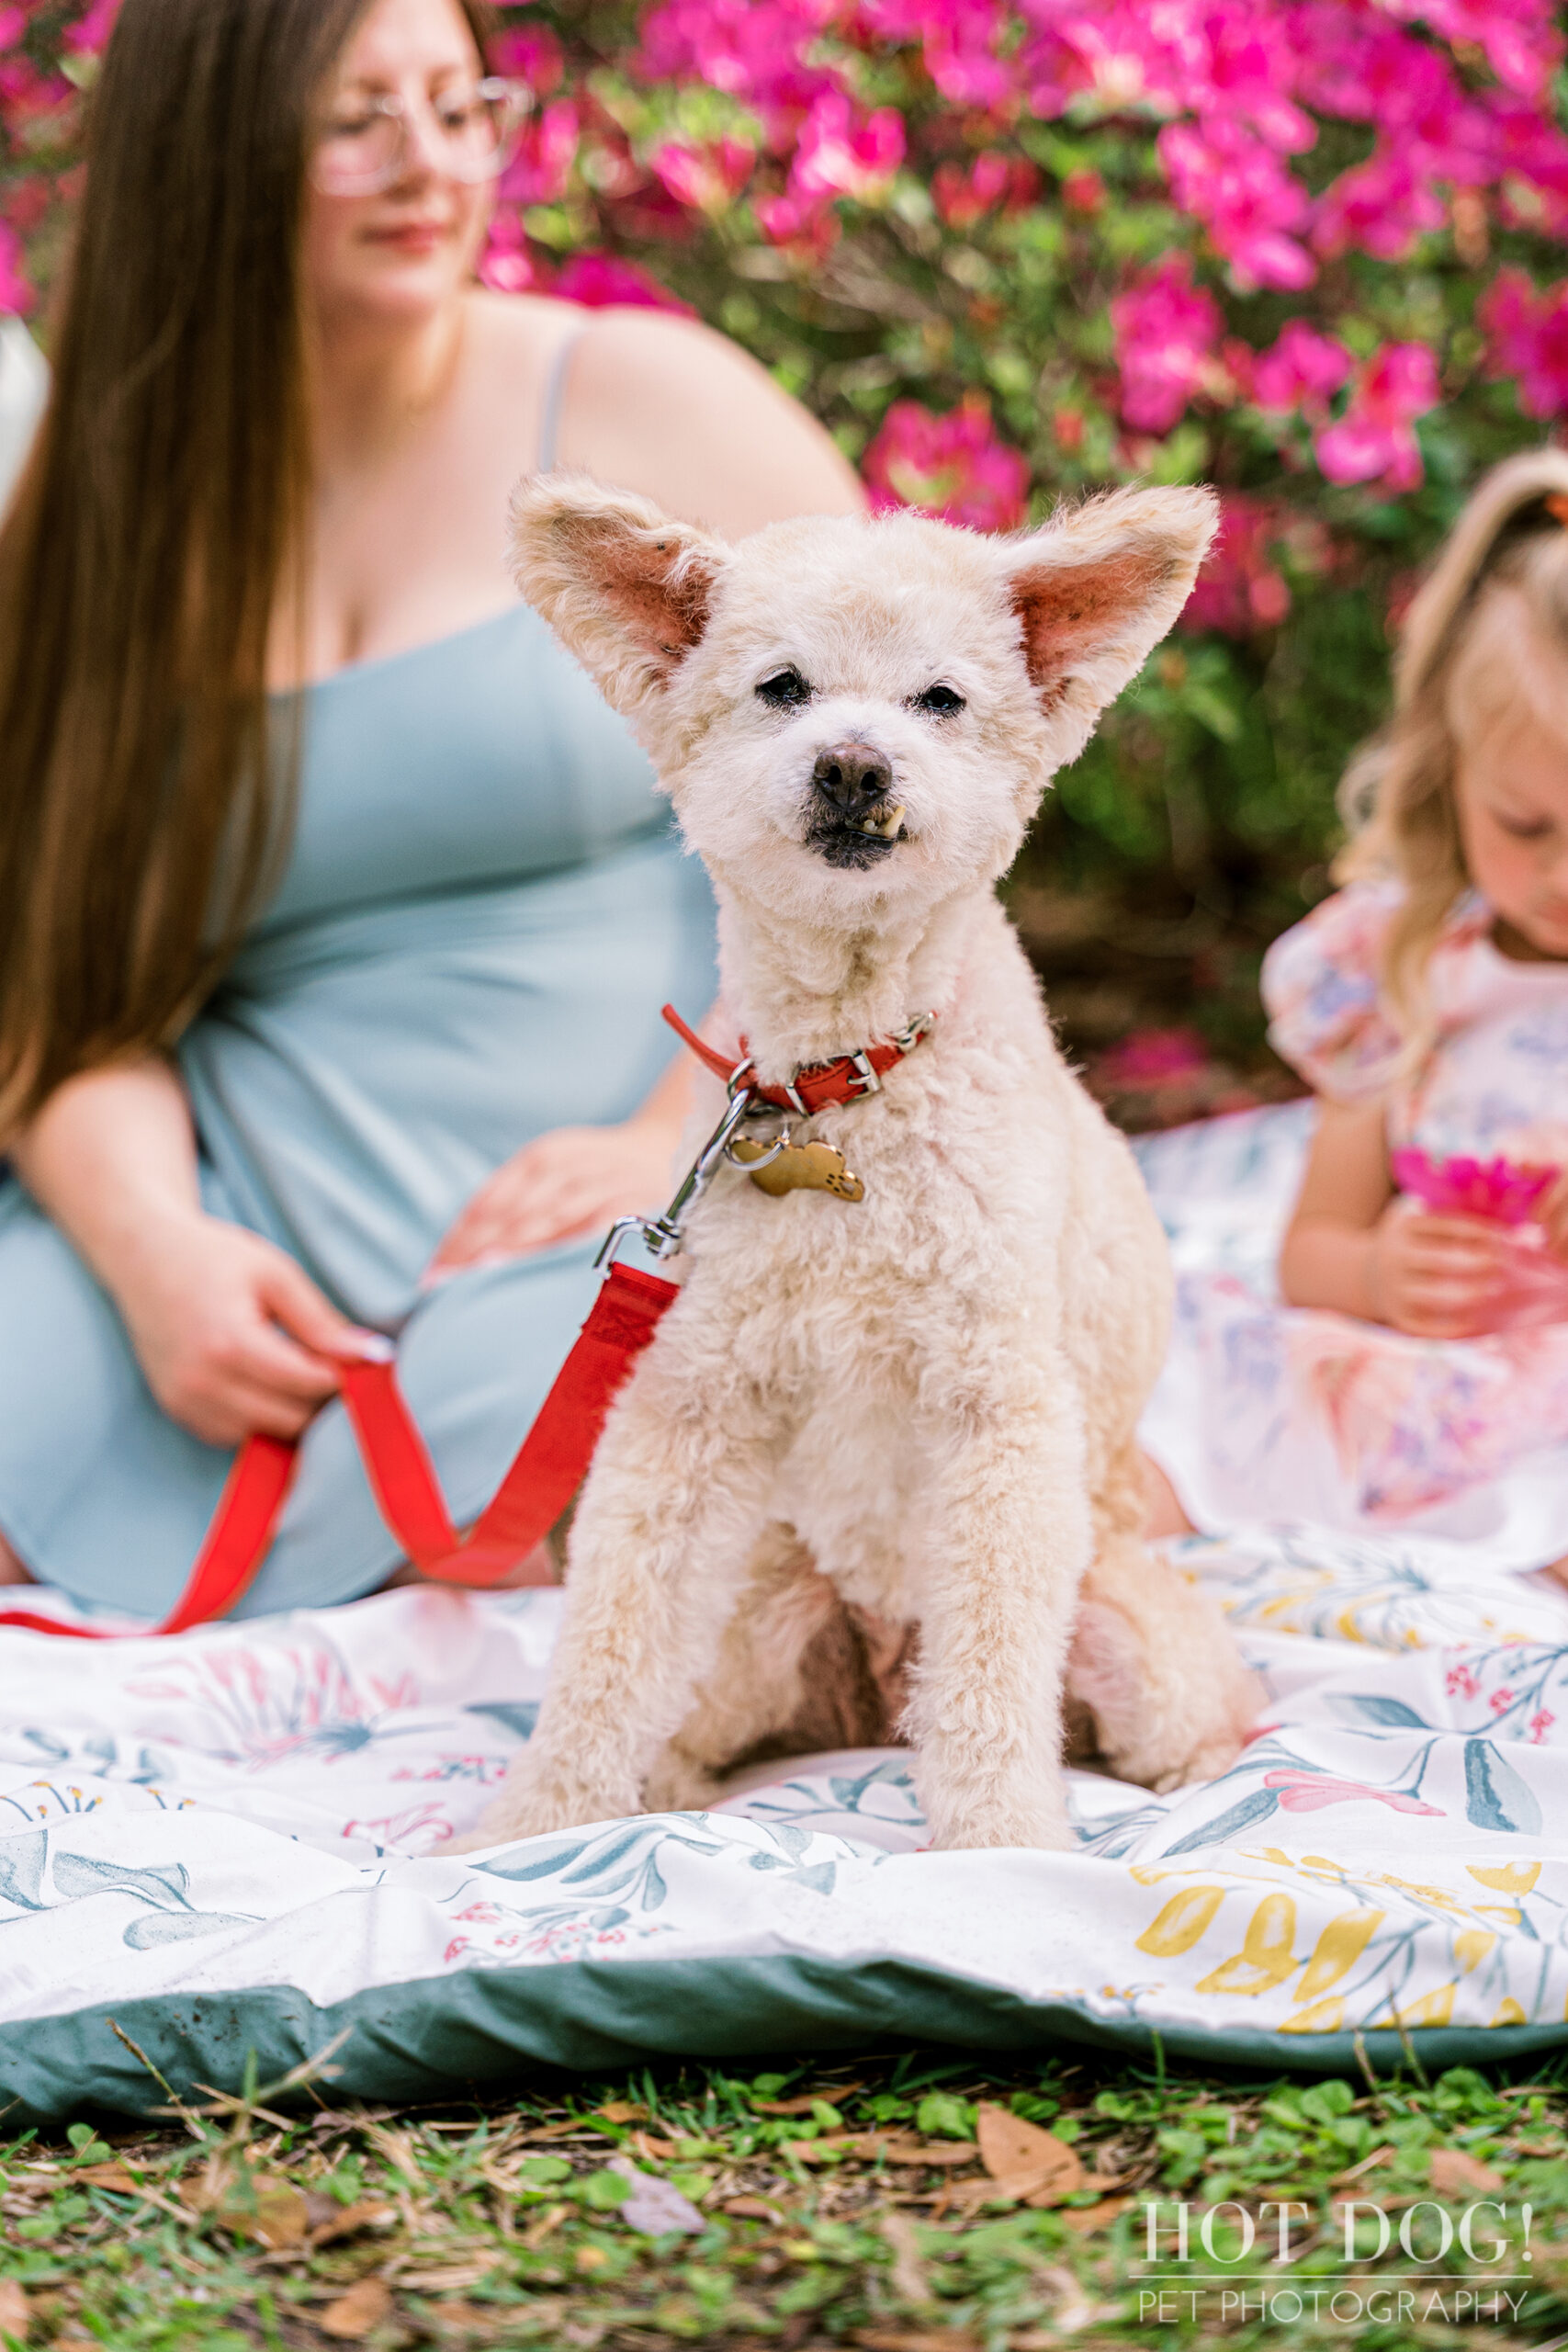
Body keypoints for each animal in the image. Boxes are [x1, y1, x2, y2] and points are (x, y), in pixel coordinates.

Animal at [469, 468, 1259, 1844]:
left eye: (939, 699)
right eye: (780, 686)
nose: (851, 764)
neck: (845, 1086)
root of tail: (882, 1694)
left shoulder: (1001, 1412)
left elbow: (992, 1671)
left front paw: (1000, 1843)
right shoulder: (689, 1405)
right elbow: (611, 1636)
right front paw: (541, 1823)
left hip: (1131, 1634)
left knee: (1161, 1715)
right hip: (757, 1624)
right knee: (704, 1713)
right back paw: (669, 1789)